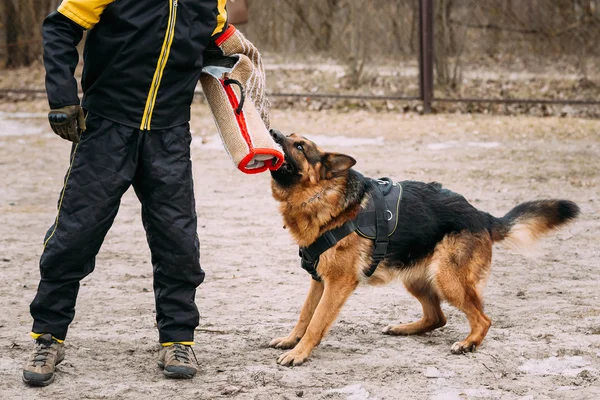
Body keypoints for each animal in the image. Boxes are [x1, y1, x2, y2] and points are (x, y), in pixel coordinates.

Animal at [268, 130, 576, 366]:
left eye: (299, 146)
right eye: (290, 137)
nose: (273, 132)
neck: (322, 194)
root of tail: (480, 215)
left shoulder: (338, 283)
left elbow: (317, 320)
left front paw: (299, 353)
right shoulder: (319, 280)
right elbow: (305, 314)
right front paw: (291, 340)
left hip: (448, 280)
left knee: (483, 319)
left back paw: (468, 343)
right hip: (417, 280)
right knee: (437, 317)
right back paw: (403, 328)